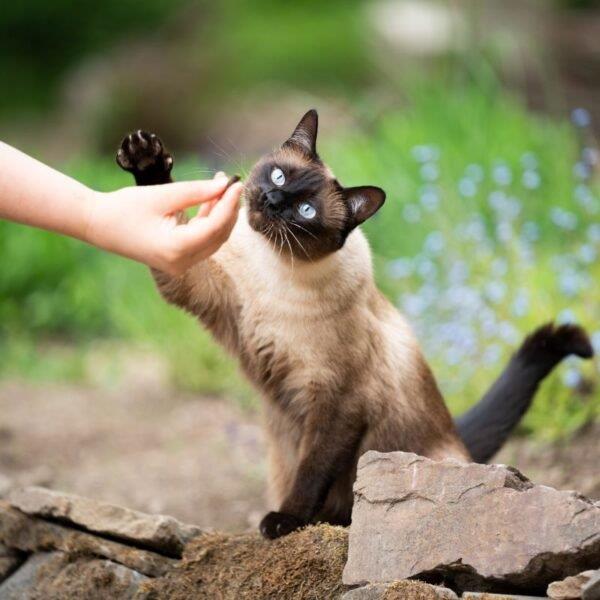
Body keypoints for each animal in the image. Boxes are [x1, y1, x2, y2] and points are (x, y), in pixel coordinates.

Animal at [115, 109, 592, 540]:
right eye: (279, 176)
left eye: (306, 210)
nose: (272, 201)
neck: (274, 268)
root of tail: (459, 440)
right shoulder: (197, 285)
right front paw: (145, 158)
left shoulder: (338, 401)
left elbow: (311, 472)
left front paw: (284, 522)